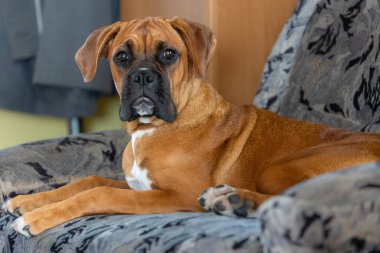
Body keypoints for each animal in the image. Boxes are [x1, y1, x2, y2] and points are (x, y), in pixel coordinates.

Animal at [2, 16, 380, 236]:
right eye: (121, 57)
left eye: (169, 54)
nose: (143, 76)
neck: (152, 129)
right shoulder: (140, 187)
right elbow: (90, 179)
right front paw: (30, 202)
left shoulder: (175, 196)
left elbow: (99, 192)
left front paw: (37, 218)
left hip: (281, 168)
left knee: (287, 198)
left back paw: (233, 200)